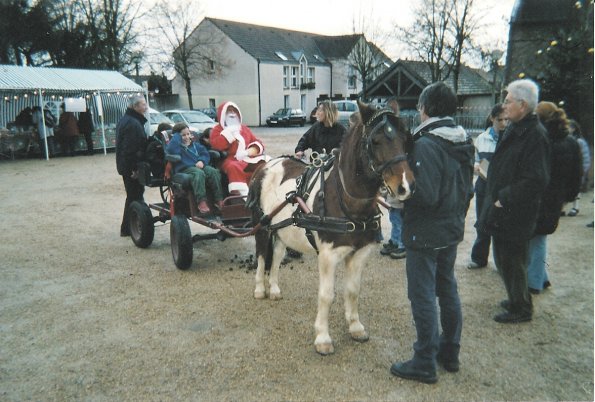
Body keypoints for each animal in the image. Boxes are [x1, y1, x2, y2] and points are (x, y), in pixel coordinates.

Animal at [247, 101, 414, 354]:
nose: (405, 186)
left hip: (283, 231)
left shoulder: (361, 252)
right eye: (375, 141)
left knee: (275, 257)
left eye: (405, 138)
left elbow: (353, 290)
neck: (346, 200)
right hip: (263, 228)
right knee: (261, 257)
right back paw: (259, 289)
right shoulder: (328, 255)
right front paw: (323, 338)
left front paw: (355, 327)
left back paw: (273, 289)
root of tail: (265, 165)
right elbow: (326, 295)